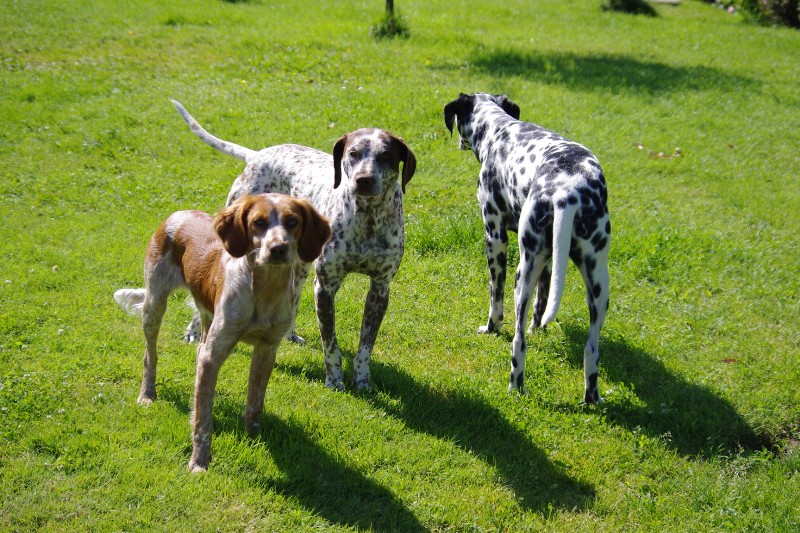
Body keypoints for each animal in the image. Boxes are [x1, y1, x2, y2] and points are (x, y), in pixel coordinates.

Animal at [113, 192, 332, 470]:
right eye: (258, 222)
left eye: (292, 221)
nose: (278, 248)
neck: (264, 292)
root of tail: (178, 214)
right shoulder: (214, 353)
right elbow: (203, 420)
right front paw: (199, 462)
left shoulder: (266, 349)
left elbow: (255, 403)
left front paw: (254, 437)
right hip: (154, 304)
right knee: (150, 355)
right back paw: (147, 394)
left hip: (205, 318)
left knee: (197, 353)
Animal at [172, 101, 416, 390]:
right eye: (353, 154)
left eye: (386, 155)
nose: (364, 180)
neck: (368, 219)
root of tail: (257, 155)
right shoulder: (325, 287)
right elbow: (330, 345)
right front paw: (334, 380)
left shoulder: (380, 288)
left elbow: (365, 346)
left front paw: (362, 381)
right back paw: (193, 330)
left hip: (298, 267)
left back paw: (289, 334)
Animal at [444, 92, 612, 404]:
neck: (498, 130)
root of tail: (567, 192)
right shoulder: (548, 263)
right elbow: (541, 304)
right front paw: (539, 329)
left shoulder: (495, 240)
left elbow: (495, 301)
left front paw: (490, 328)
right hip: (597, 286)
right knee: (591, 351)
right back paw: (591, 397)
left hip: (521, 275)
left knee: (518, 342)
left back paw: (515, 386)